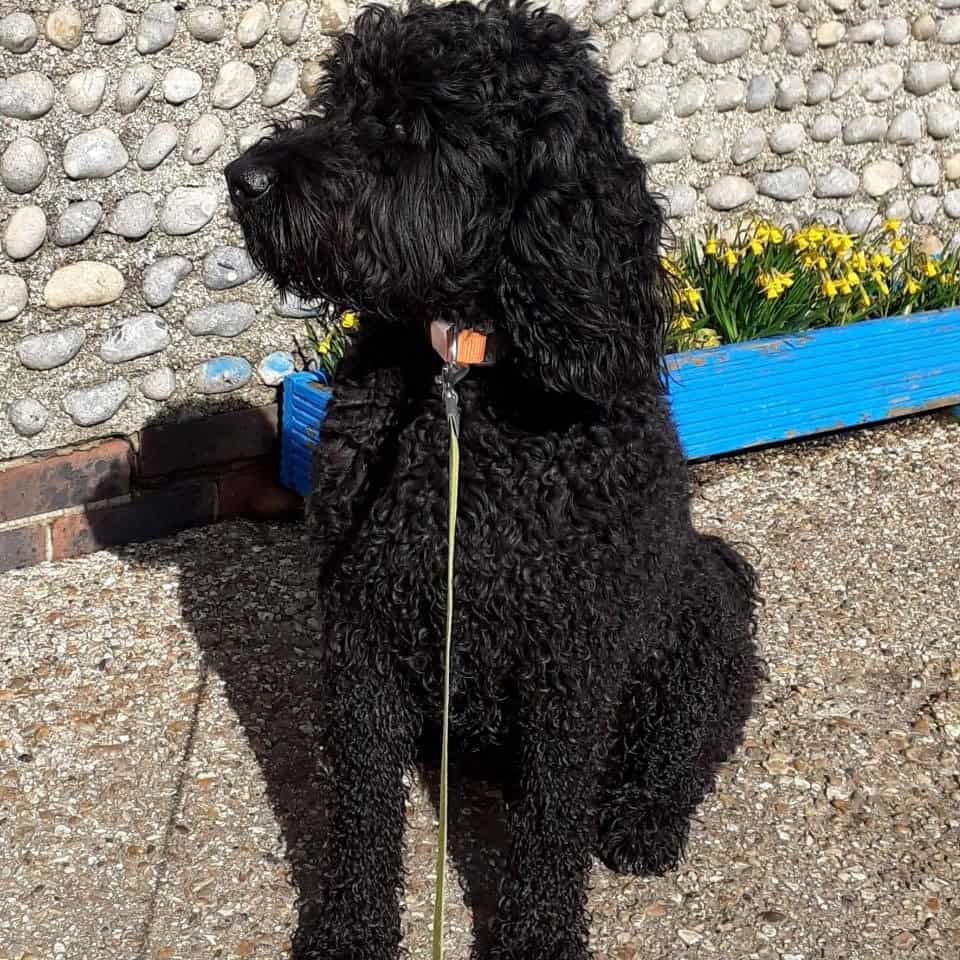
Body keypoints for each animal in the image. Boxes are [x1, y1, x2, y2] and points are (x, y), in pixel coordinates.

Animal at [225, 2, 760, 957]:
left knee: (683, 753)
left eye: (409, 124)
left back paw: (644, 821)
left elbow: (550, 822)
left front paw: (536, 936)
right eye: (337, 98)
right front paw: (352, 928)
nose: (241, 178)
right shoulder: (361, 627)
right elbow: (361, 809)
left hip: (695, 643)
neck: (462, 385)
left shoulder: (570, 659)